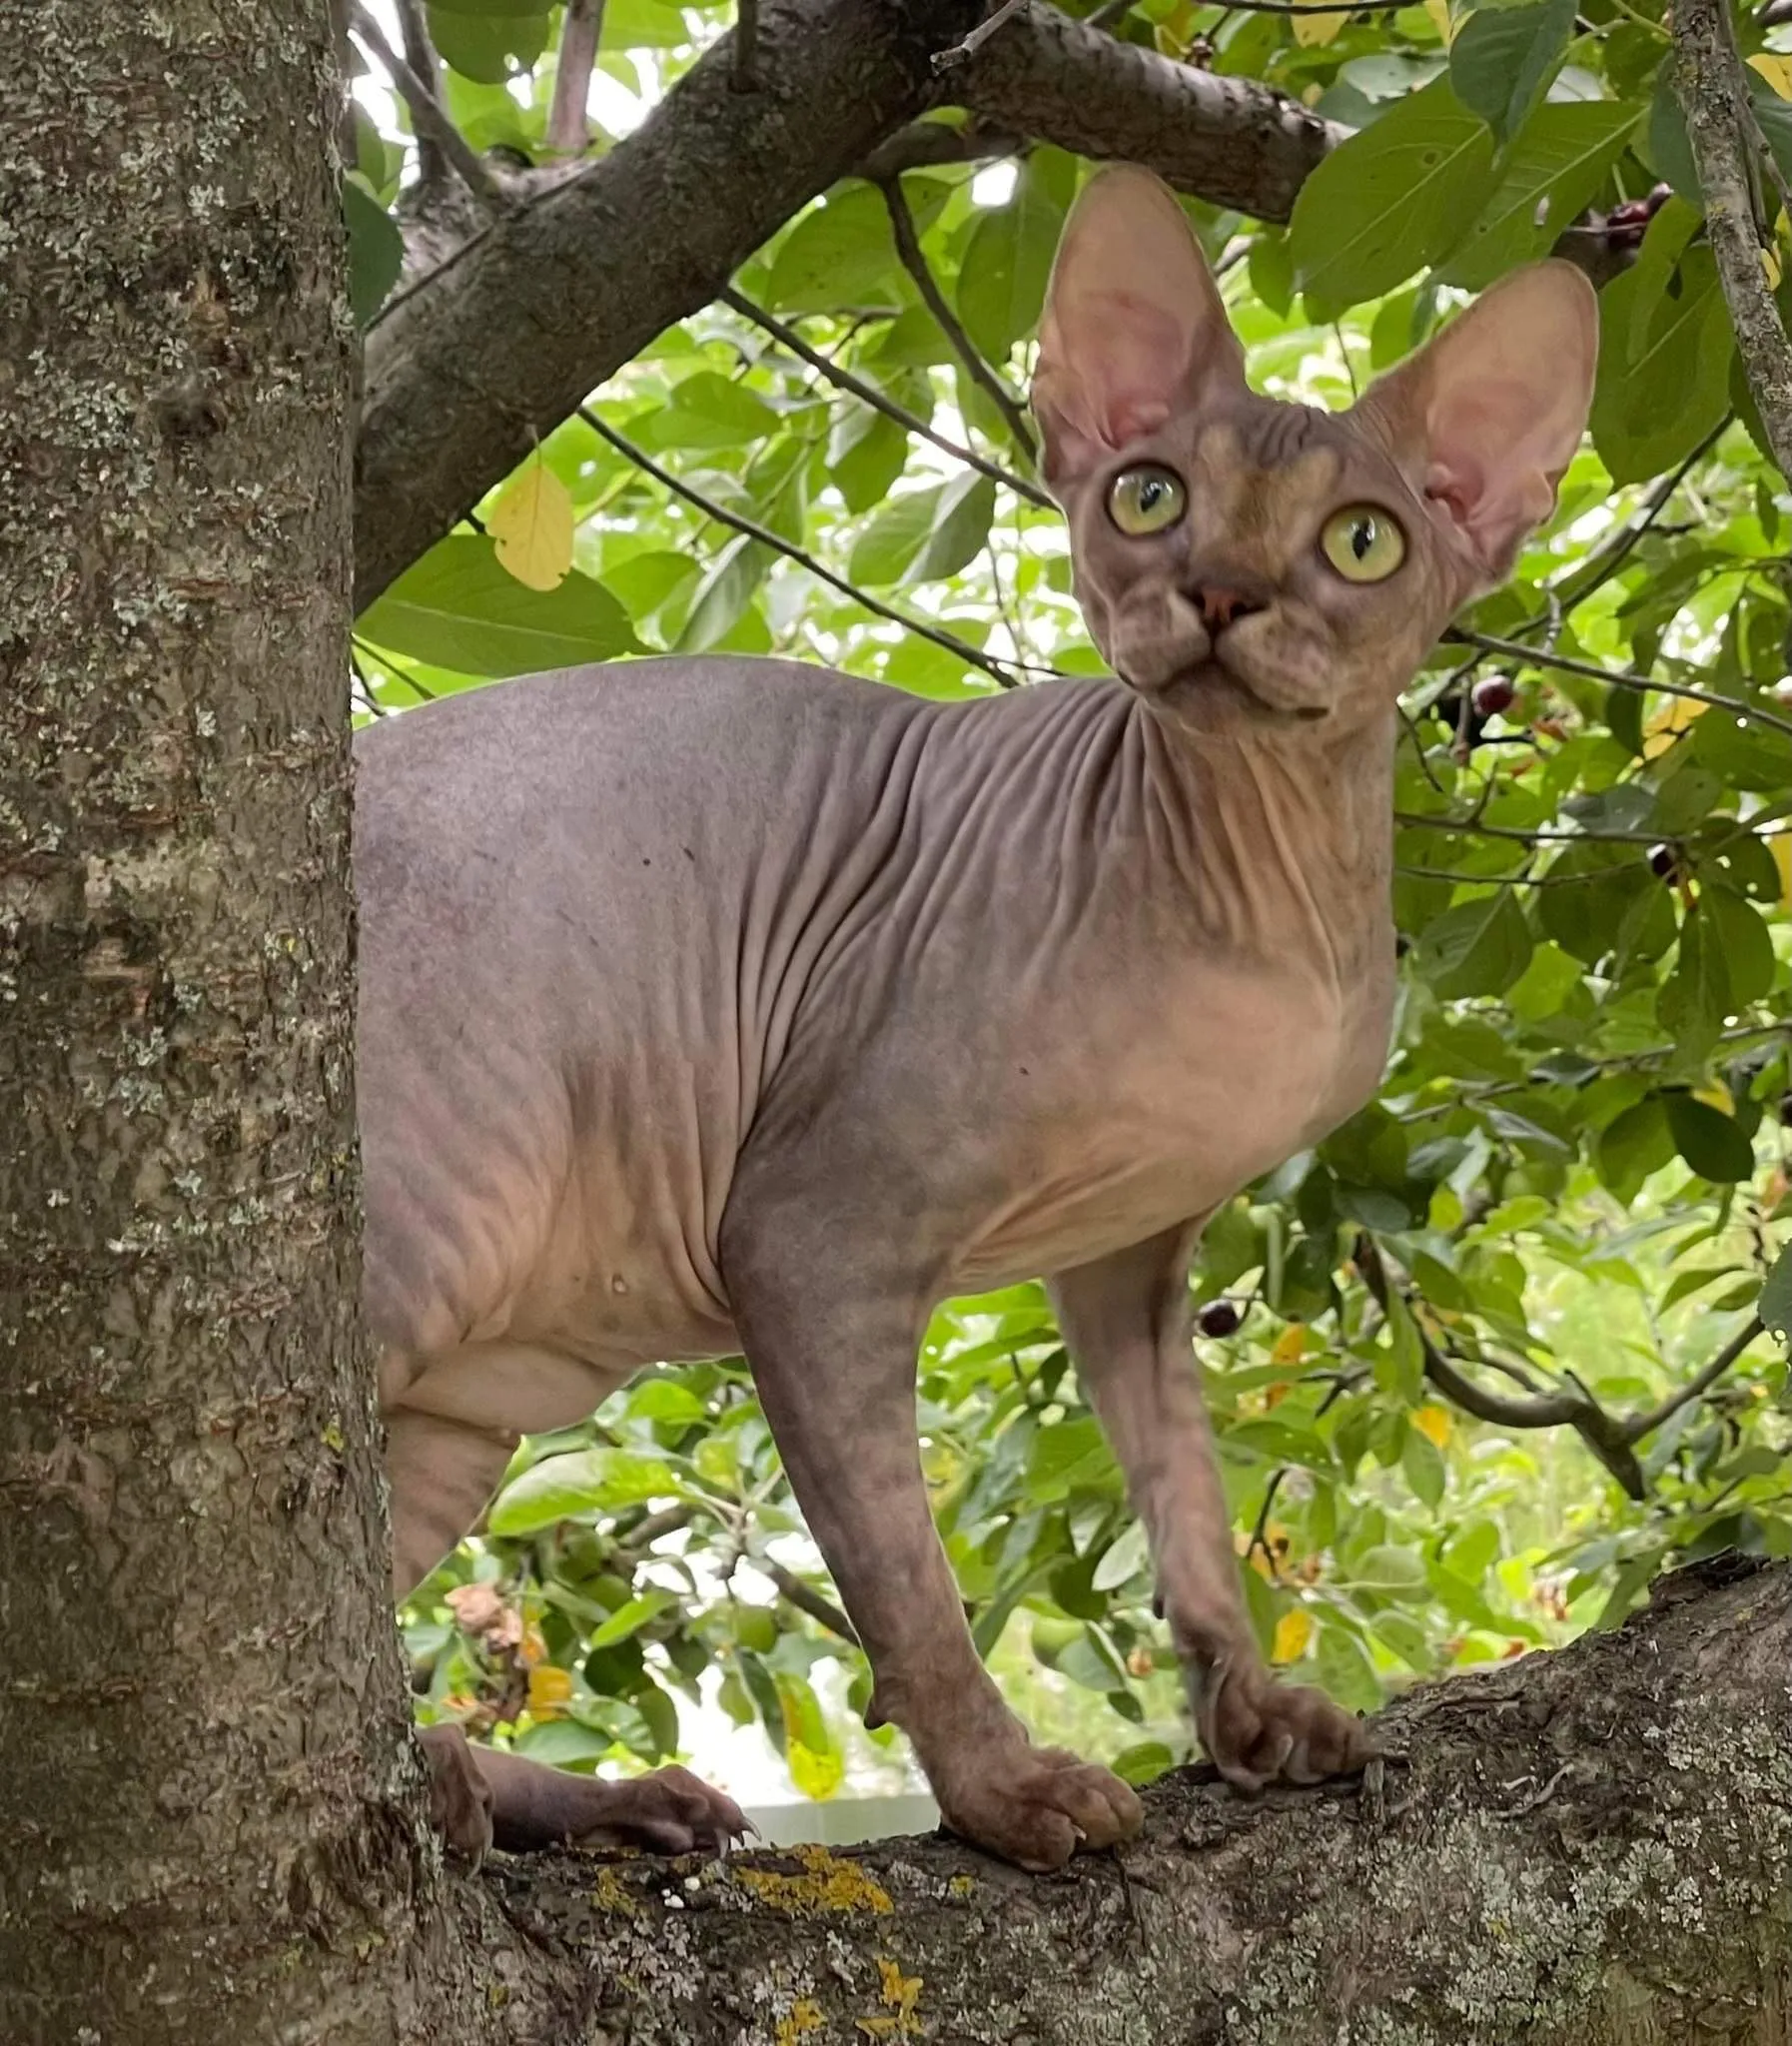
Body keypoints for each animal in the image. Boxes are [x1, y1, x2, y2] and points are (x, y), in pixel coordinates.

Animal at [360, 172, 1595, 1873]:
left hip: (465, 1404)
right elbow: (906, 1583)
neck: (1255, 900)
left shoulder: (1132, 1252)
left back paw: (568, 1796)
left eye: (1361, 540)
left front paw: (1252, 1712)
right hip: (437, 1226)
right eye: (1146, 497)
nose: (1220, 592)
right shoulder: (814, 1239)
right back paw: (452, 1787)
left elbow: (1185, 1494)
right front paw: (1002, 1794)